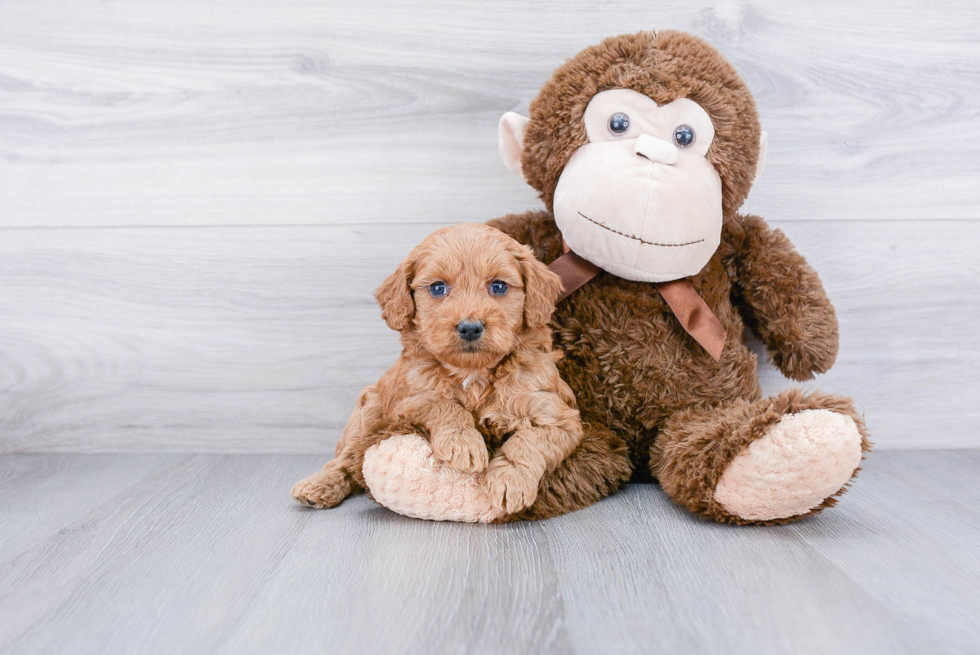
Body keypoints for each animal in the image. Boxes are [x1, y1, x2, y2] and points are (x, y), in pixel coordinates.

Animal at [290, 223, 580, 516]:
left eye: (498, 286)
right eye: (438, 288)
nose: (470, 327)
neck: (473, 374)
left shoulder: (555, 414)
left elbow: (530, 442)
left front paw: (511, 481)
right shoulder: (409, 400)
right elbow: (443, 404)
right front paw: (464, 443)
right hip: (368, 409)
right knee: (346, 459)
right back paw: (318, 486)